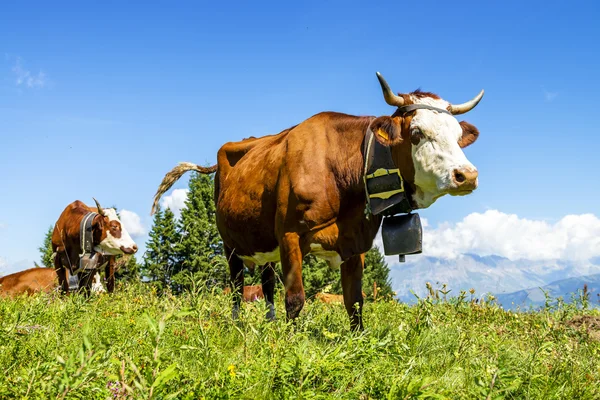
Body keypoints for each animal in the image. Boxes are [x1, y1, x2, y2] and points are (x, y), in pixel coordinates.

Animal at [151, 73, 482, 330]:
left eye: (457, 135)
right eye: (416, 132)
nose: (467, 175)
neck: (338, 168)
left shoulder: (356, 241)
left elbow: (354, 301)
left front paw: (358, 343)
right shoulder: (289, 234)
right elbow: (295, 298)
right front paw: (289, 343)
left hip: (263, 242)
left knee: (267, 283)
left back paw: (269, 324)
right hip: (229, 243)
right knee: (235, 286)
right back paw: (236, 325)